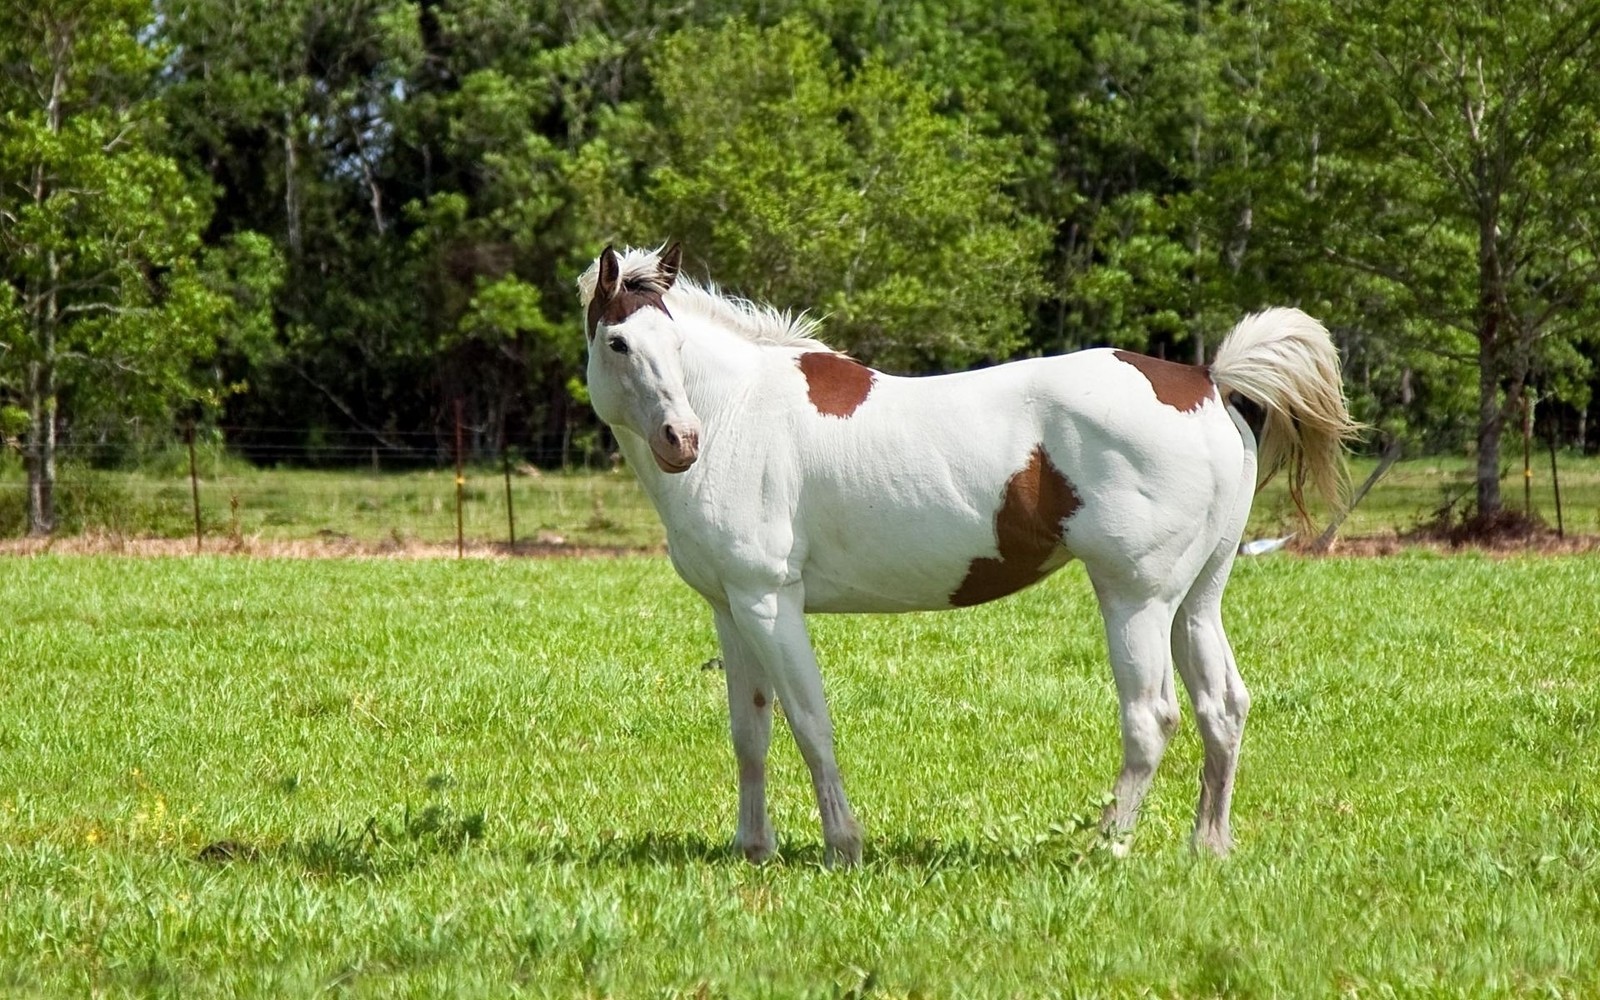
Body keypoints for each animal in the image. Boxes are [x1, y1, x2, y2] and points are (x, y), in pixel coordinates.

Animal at [576, 241, 1350, 864]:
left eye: (675, 346)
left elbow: (809, 722)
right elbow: (751, 732)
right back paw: (1207, 846)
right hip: (1197, 599)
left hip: (1136, 597)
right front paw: (752, 848)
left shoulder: (770, 603)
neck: (739, 412)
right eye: (619, 343)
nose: (681, 440)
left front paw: (843, 847)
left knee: (1151, 717)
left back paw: (1103, 847)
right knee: (1224, 707)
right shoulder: (731, 609)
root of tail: (1207, 383)